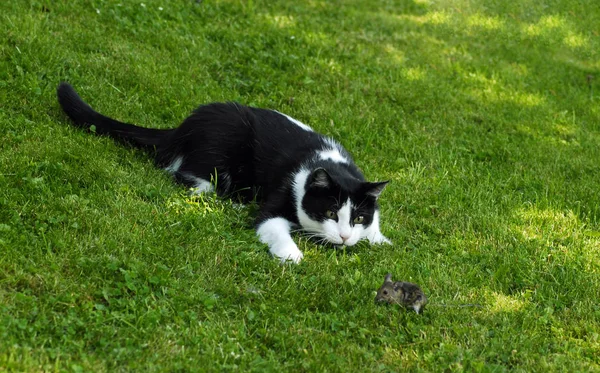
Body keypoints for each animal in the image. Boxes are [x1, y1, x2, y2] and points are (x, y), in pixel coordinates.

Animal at [58, 82, 392, 262]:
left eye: (359, 217)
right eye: (331, 213)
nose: (345, 237)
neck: (328, 162)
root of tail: (182, 127)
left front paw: (381, 241)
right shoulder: (281, 195)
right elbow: (270, 225)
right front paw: (292, 256)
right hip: (221, 147)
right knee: (185, 178)